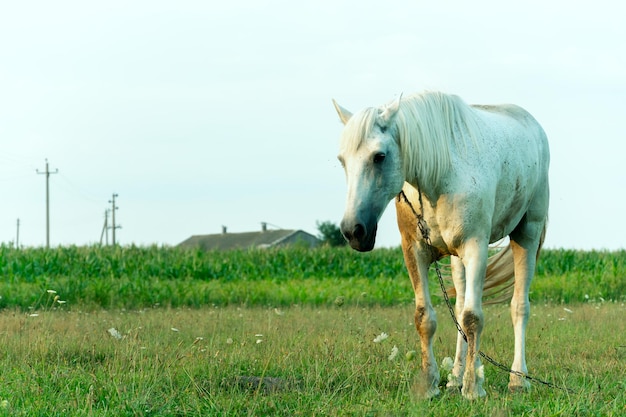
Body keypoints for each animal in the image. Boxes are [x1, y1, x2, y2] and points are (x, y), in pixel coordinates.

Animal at [332, 92, 544, 400]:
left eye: (379, 156)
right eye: (342, 161)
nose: (353, 231)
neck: (439, 178)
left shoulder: (476, 248)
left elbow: (473, 318)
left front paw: (473, 388)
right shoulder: (414, 251)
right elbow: (427, 318)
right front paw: (431, 385)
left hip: (526, 235)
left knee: (518, 307)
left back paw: (517, 379)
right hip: (457, 260)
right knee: (460, 308)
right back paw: (456, 376)